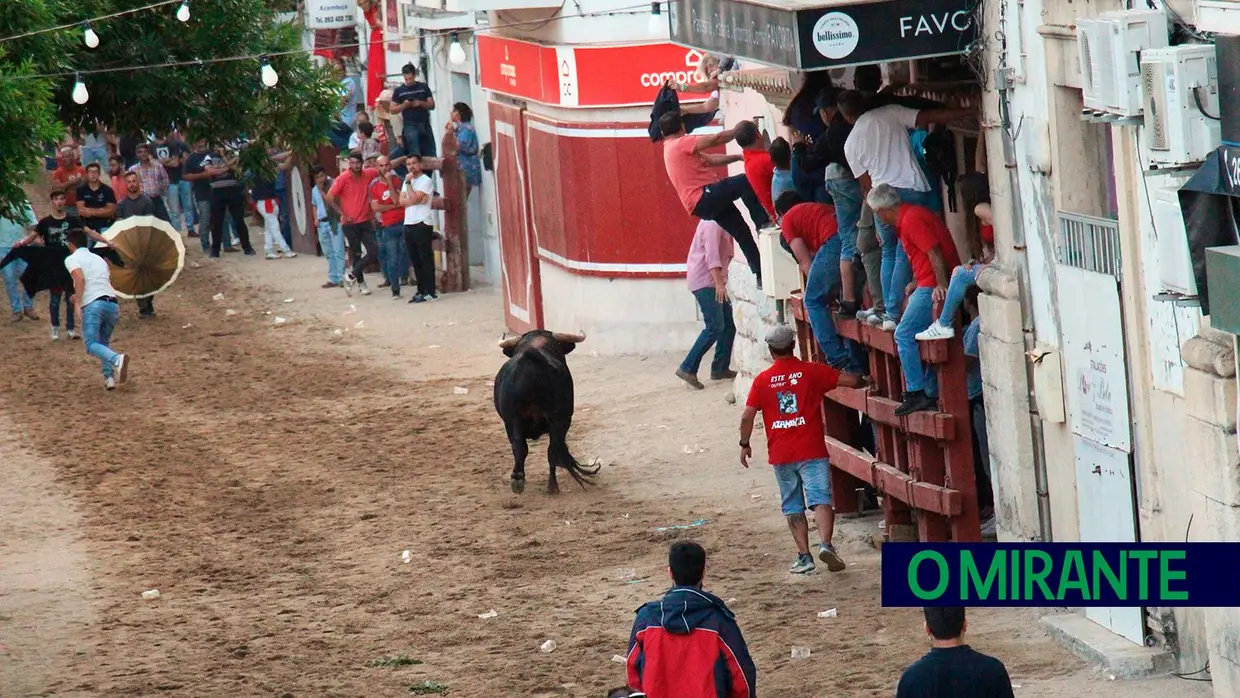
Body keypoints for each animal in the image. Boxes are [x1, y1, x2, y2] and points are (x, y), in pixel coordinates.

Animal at [493, 329, 600, 493]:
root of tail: (531, 358)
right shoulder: (564, 420)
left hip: (513, 420)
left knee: (520, 447)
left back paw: (519, 480)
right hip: (555, 420)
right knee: (550, 450)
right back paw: (552, 486)